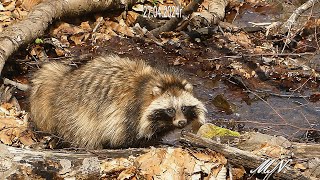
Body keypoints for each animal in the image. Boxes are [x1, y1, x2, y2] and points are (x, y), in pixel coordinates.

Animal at [29, 55, 205, 149]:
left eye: (184, 107)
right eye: (170, 110)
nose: (182, 123)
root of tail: (63, 83)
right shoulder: (126, 114)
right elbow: (123, 138)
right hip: (75, 115)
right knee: (84, 134)